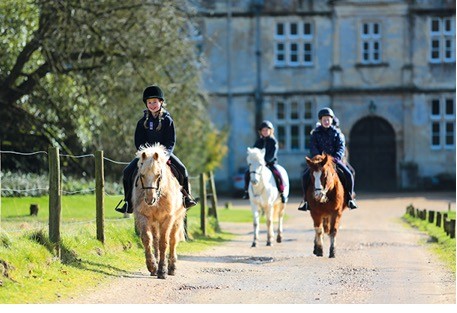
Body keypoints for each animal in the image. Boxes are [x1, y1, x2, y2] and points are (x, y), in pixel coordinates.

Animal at [132, 143, 187, 278]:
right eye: (142, 175)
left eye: (158, 175)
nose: (150, 199)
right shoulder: (143, 216)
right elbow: (147, 239)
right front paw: (152, 266)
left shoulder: (168, 218)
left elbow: (164, 242)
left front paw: (162, 270)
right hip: (154, 222)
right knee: (155, 240)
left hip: (177, 219)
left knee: (173, 240)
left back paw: (172, 267)